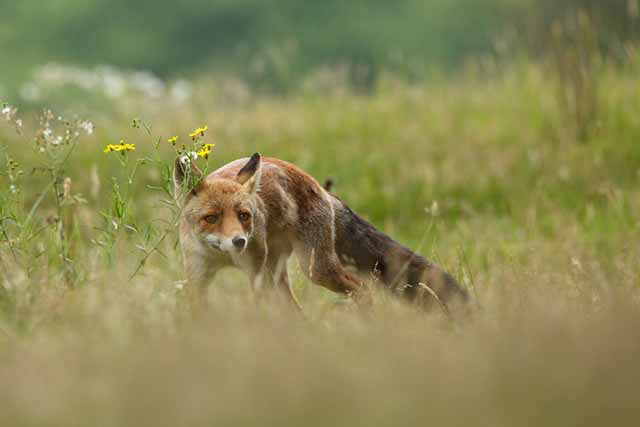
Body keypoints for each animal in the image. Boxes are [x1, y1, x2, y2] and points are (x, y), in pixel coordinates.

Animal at [172, 153, 468, 310]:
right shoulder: (197, 275)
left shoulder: (255, 274)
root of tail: (320, 187)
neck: (223, 257)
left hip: (315, 269)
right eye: (212, 218)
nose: (239, 241)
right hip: (279, 273)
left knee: (362, 289)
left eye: (244, 216)